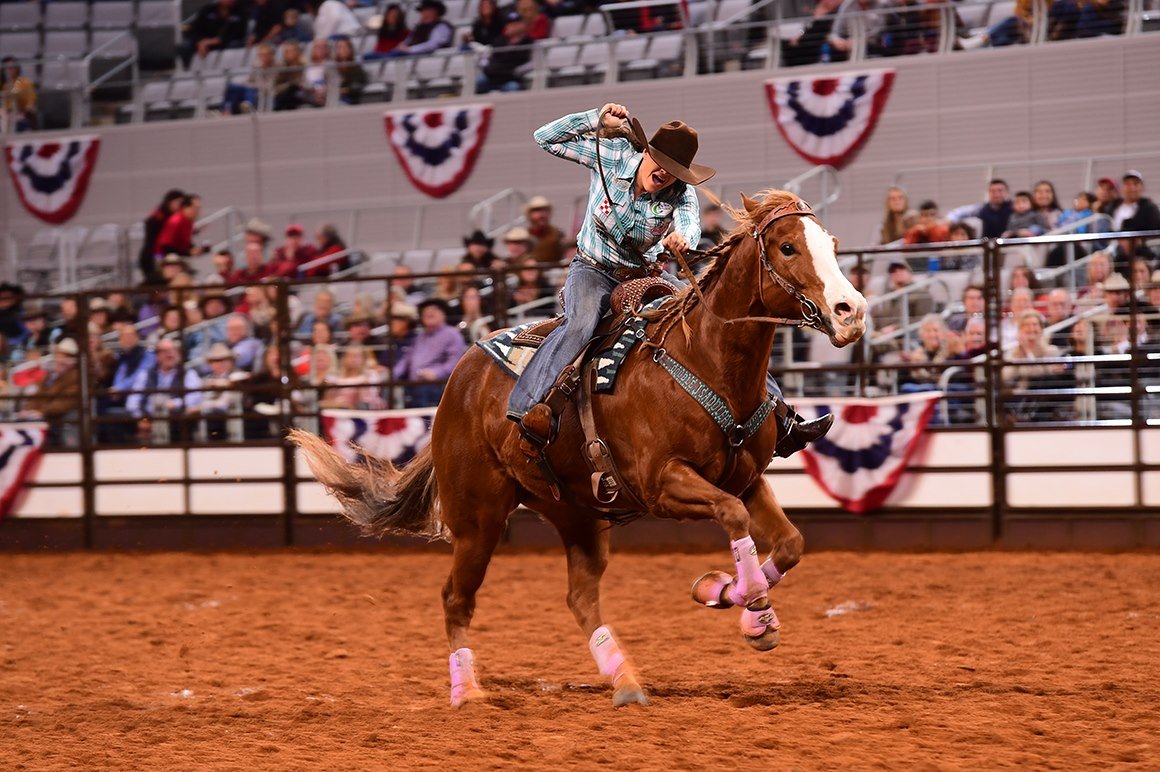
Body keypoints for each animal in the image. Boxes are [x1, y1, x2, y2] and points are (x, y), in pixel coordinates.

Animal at [294, 191, 867, 704]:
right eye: (788, 247)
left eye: (834, 244)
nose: (852, 311)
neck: (704, 358)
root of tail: (458, 381)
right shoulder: (663, 484)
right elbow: (732, 516)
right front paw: (751, 609)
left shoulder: (746, 479)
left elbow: (789, 542)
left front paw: (726, 596)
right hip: (478, 519)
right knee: (457, 598)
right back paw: (468, 692)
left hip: (578, 513)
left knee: (580, 598)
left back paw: (625, 681)